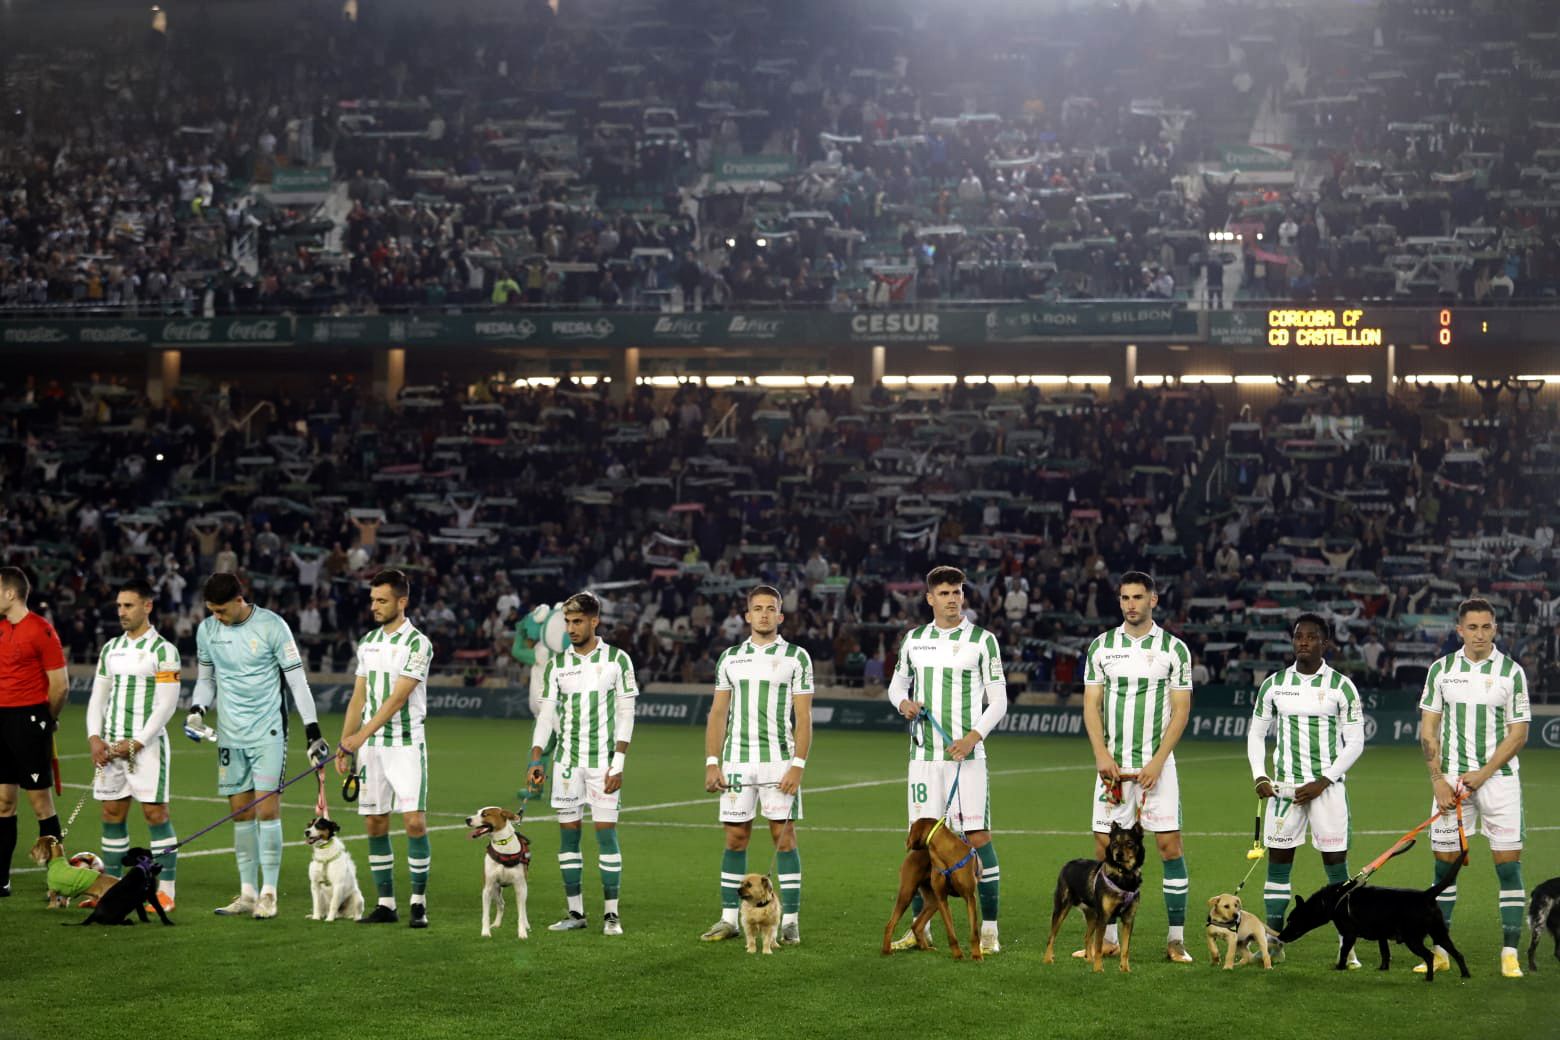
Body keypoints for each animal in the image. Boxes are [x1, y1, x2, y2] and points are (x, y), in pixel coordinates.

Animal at [461, 804, 530, 941]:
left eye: (484, 814)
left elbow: (521, 914)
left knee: (523, 909)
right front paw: (485, 932)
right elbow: (485, 915)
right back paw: (497, 924)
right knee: (501, 904)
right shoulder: (487, 888)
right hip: (496, 889)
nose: (467, 819)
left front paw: (522, 933)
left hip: (523, 888)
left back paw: (526, 925)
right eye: (477, 812)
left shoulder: (520, 887)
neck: (502, 845)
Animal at [886, 817, 979, 966]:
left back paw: (925, 948)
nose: (906, 840)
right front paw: (958, 955)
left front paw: (976, 955)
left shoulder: (969, 897)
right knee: (891, 924)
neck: (945, 854)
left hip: (932, 902)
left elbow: (974, 932)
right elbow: (951, 933)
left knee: (916, 925)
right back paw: (886, 951)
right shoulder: (942, 899)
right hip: (908, 893)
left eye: (912, 828)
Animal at [1035, 823, 1148, 979]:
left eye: (1130, 843)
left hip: (1093, 916)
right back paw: (1047, 959)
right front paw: (1099, 969)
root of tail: (1068, 864)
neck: (1123, 875)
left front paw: (1125, 969)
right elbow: (1099, 946)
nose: (1118, 854)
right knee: (1051, 936)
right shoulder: (1104, 917)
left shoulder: (1128, 919)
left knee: (1087, 937)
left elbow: (1125, 949)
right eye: (1114, 843)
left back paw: (1089, 959)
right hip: (1062, 909)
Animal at [1272, 860, 1466, 979]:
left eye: (1291, 920)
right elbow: (1385, 954)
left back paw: (1429, 978)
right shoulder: (1381, 936)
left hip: (1413, 939)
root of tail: (1426, 896)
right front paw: (1382, 969)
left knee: (1430, 956)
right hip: (1440, 934)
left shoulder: (1349, 934)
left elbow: (1344, 952)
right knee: (1458, 954)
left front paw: (1340, 968)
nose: (1280, 936)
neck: (1334, 899)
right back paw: (1465, 976)